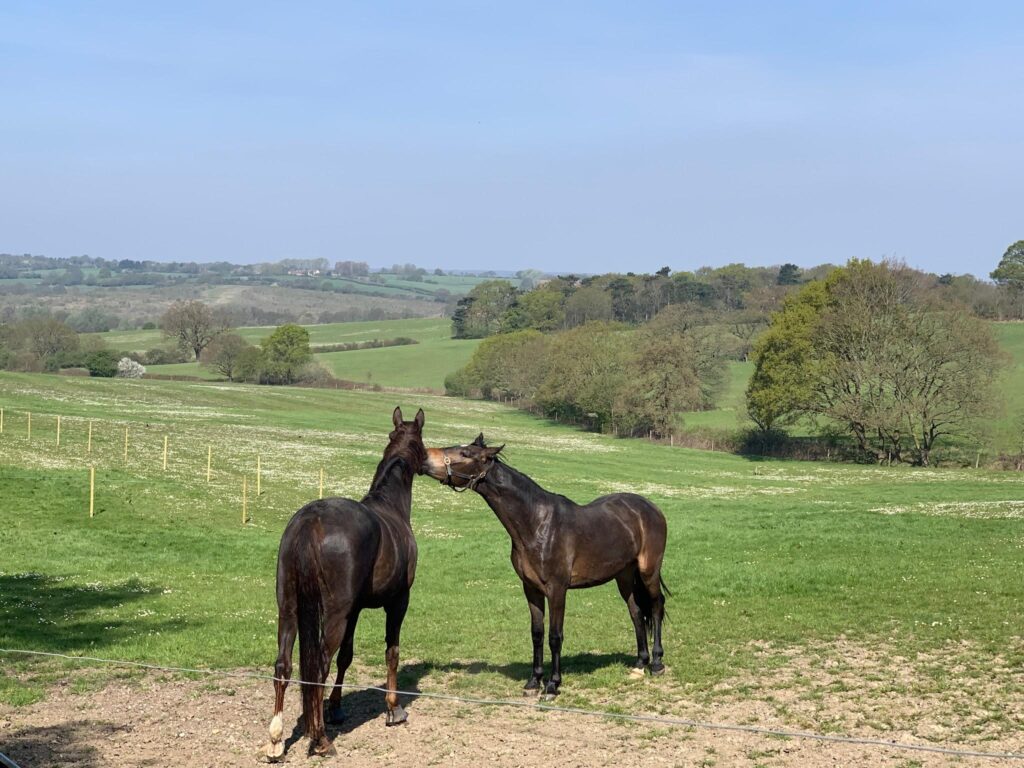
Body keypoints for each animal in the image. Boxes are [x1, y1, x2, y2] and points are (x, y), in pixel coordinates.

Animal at [263, 406, 426, 760]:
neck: (390, 505)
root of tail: (311, 521)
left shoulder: (356, 610)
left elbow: (347, 657)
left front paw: (336, 708)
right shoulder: (398, 602)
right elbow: (391, 651)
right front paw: (393, 709)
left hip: (289, 608)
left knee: (284, 666)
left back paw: (276, 740)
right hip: (334, 615)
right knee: (320, 667)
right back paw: (321, 740)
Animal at [423, 434, 669, 699]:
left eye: (466, 454)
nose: (424, 458)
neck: (537, 523)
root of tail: (650, 508)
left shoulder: (557, 589)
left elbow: (554, 636)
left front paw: (552, 685)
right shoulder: (531, 589)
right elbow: (537, 634)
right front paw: (534, 681)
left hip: (648, 571)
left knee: (656, 606)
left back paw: (656, 663)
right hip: (623, 576)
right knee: (636, 612)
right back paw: (639, 664)